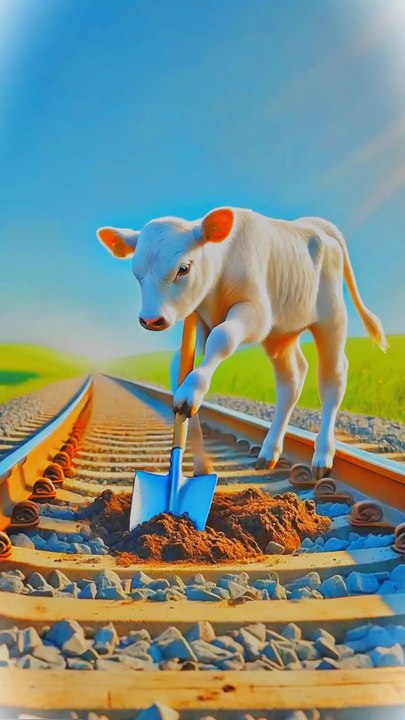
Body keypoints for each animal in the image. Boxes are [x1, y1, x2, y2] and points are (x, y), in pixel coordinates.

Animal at [97, 207, 386, 479]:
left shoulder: (256, 311)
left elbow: (222, 337)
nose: (151, 319)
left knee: (332, 378)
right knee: (291, 380)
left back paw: (323, 455)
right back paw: (269, 452)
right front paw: (201, 463)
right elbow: (179, 366)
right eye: (137, 274)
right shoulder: (201, 318)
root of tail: (314, 225)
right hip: (280, 332)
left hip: (331, 318)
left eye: (183, 269)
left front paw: (192, 391)